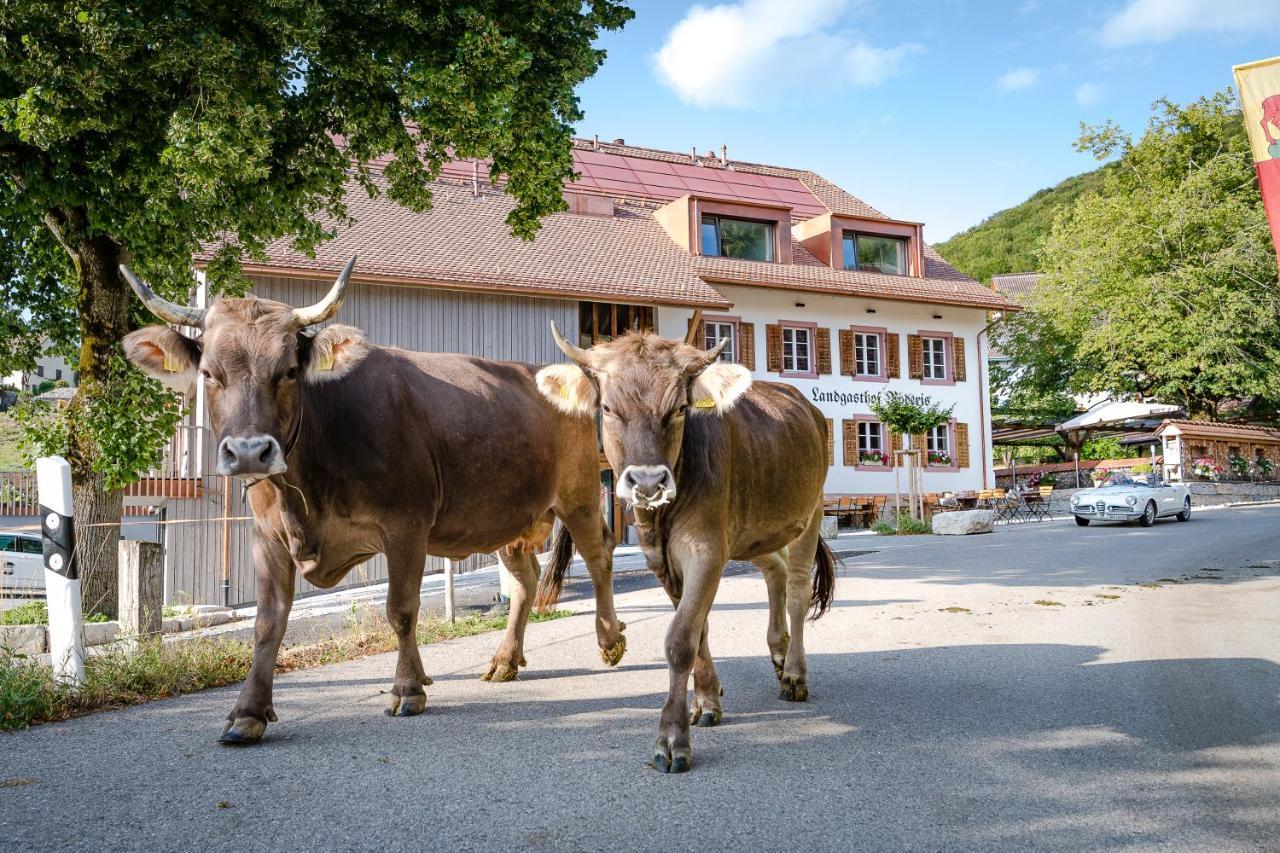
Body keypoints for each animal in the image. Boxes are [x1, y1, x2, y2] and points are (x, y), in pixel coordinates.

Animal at [117, 256, 627, 742]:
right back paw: (505, 660)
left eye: (288, 371)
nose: (248, 452)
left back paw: (608, 640)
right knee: (525, 579)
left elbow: (400, 609)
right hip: (508, 515)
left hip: (579, 494)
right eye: (209, 373)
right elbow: (267, 623)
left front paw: (408, 688)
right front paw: (247, 712)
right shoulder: (267, 536)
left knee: (599, 554)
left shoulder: (405, 527)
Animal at [532, 324, 839, 768]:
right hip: (753, 529)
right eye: (607, 408)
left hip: (810, 512)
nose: (647, 481)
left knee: (798, 587)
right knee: (776, 571)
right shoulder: (663, 559)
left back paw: (795, 674)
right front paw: (707, 701)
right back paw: (779, 653)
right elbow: (699, 628)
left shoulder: (706, 549)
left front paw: (672, 739)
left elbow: (681, 639)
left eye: (678, 408)